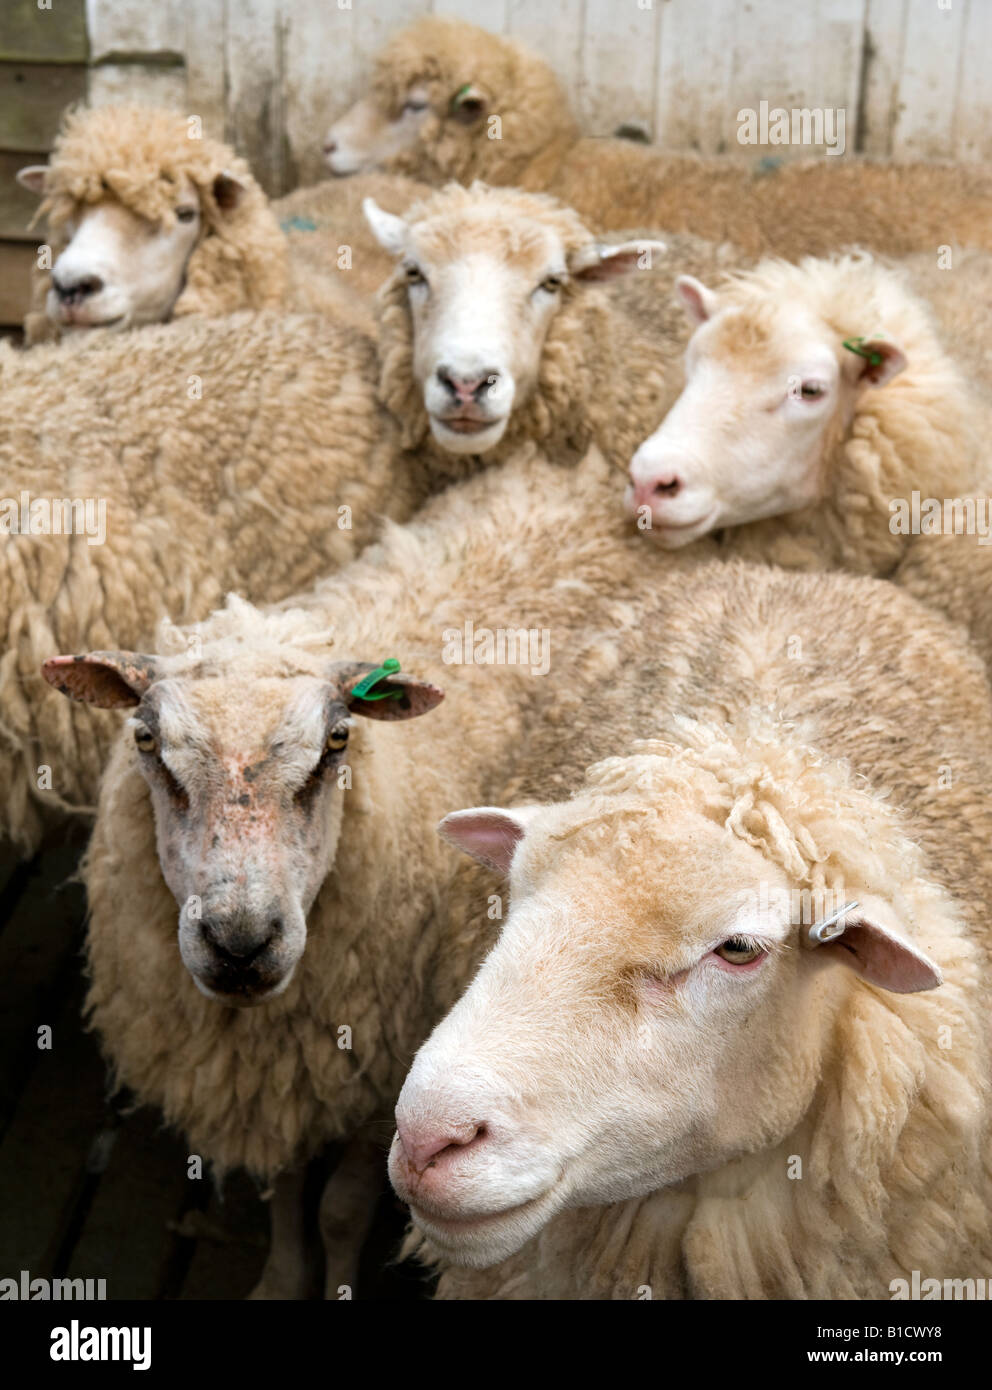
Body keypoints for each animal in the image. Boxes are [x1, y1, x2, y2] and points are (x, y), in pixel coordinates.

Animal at [42, 442, 716, 1289]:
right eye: (144, 740)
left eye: (337, 743)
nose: (241, 944)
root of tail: (573, 473)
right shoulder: (282, 1078)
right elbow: (287, 1190)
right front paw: (280, 1278)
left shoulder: (379, 1069)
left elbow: (341, 1209)